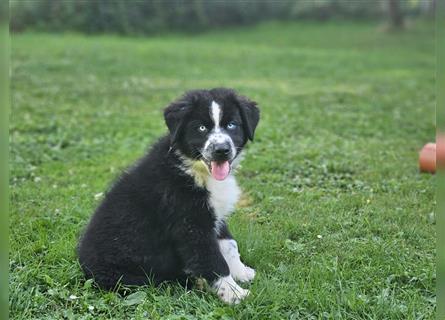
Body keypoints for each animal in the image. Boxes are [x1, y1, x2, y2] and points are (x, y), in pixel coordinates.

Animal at [78, 87, 260, 302]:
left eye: (232, 125)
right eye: (201, 128)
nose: (221, 150)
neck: (194, 168)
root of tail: (84, 267)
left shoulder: (215, 214)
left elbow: (230, 244)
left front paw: (241, 272)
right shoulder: (191, 224)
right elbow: (213, 259)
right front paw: (233, 293)